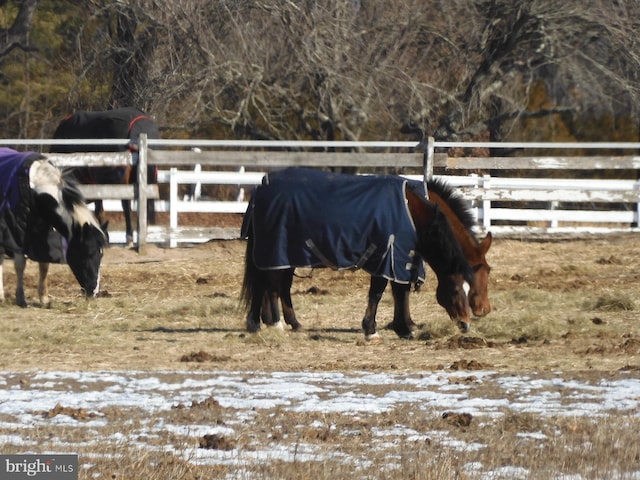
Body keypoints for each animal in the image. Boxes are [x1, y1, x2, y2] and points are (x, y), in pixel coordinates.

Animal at [0, 148, 107, 308]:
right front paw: (20, 298)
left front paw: (44, 298)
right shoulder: (16, 233)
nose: (94, 292)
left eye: (101, 255)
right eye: (88, 253)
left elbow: (44, 265)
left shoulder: (43, 233)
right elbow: (20, 265)